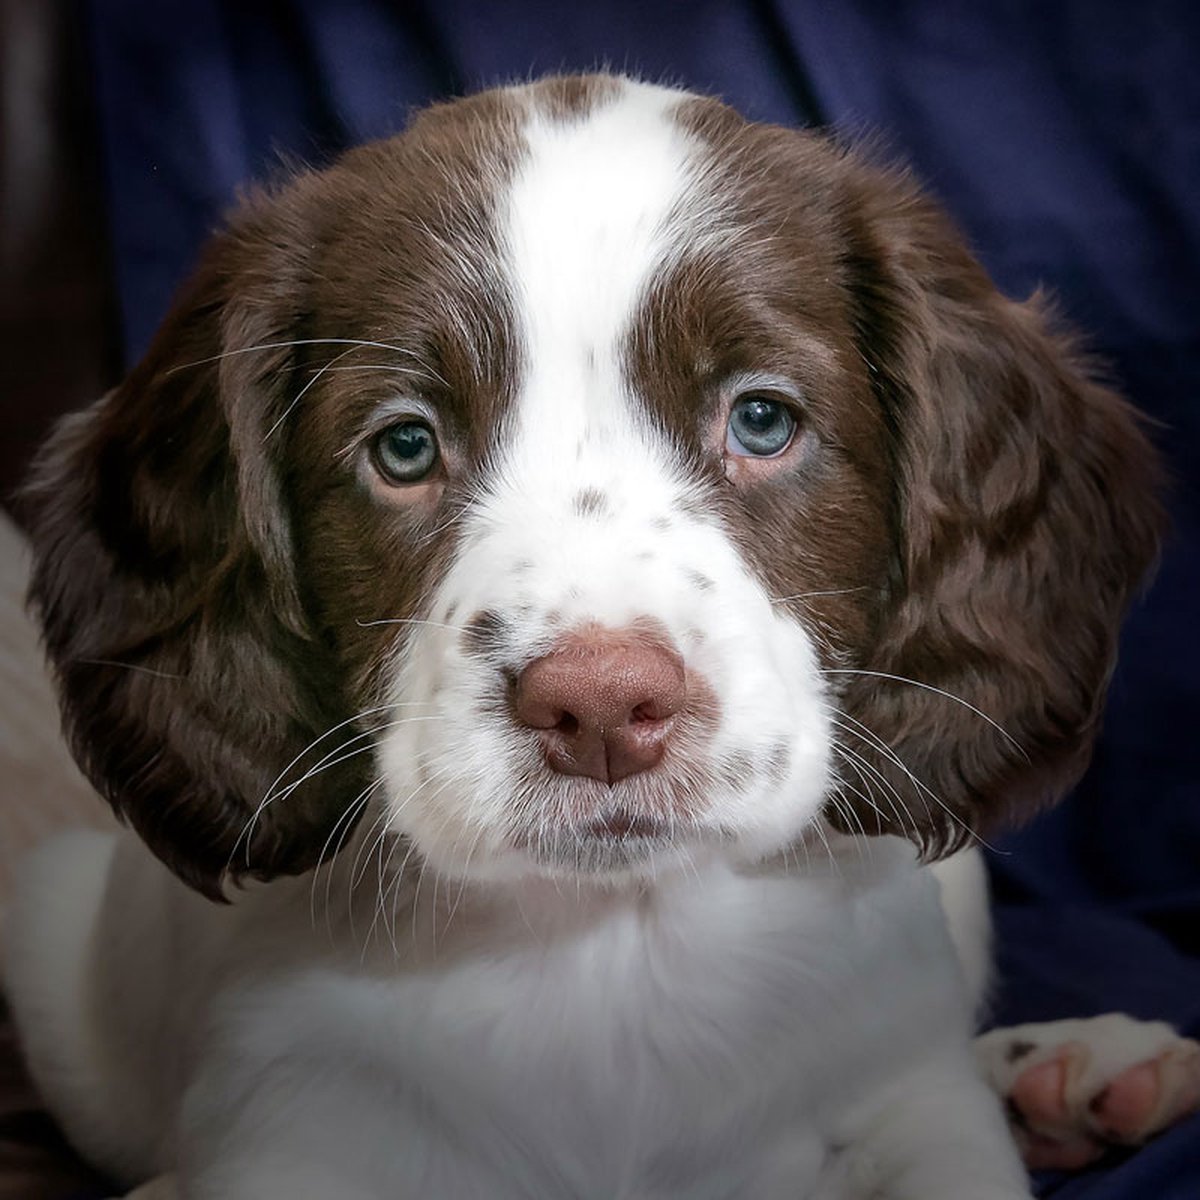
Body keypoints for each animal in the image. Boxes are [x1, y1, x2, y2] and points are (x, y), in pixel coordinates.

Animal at [2, 77, 1190, 1200]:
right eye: (404, 446)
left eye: (762, 420)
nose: (603, 707)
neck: (613, 937)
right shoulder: (283, 1132)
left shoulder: (919, 1116)